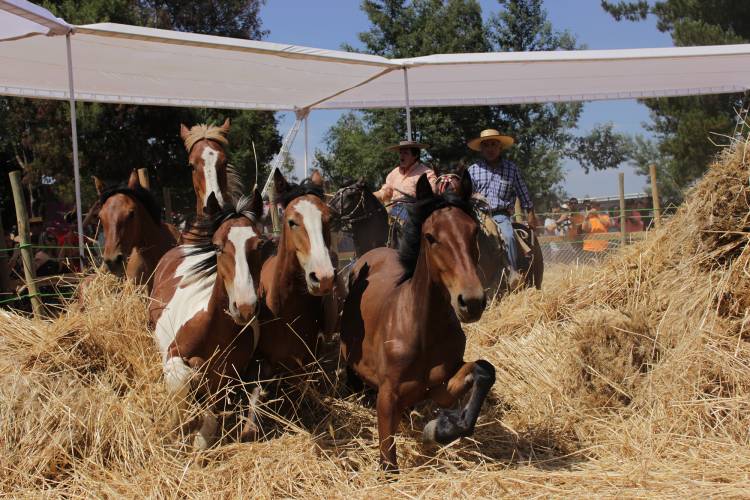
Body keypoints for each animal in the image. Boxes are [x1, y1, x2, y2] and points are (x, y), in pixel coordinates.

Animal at [150, 190, 270, 450]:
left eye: (260, 244)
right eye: (217, 246)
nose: (245, 308)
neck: (214, 330)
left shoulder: (230, 376)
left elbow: (213, 415)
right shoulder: (173, 354)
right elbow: (181, 384)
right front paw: (175, 429)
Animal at [342, 172, 500, 472]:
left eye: (474, 232)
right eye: (431, 237)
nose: (472, 301)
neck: (422, 329)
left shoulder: (440, 386)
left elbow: (484, 370)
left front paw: (441, 428)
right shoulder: (387, 395)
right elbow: (388, 464)